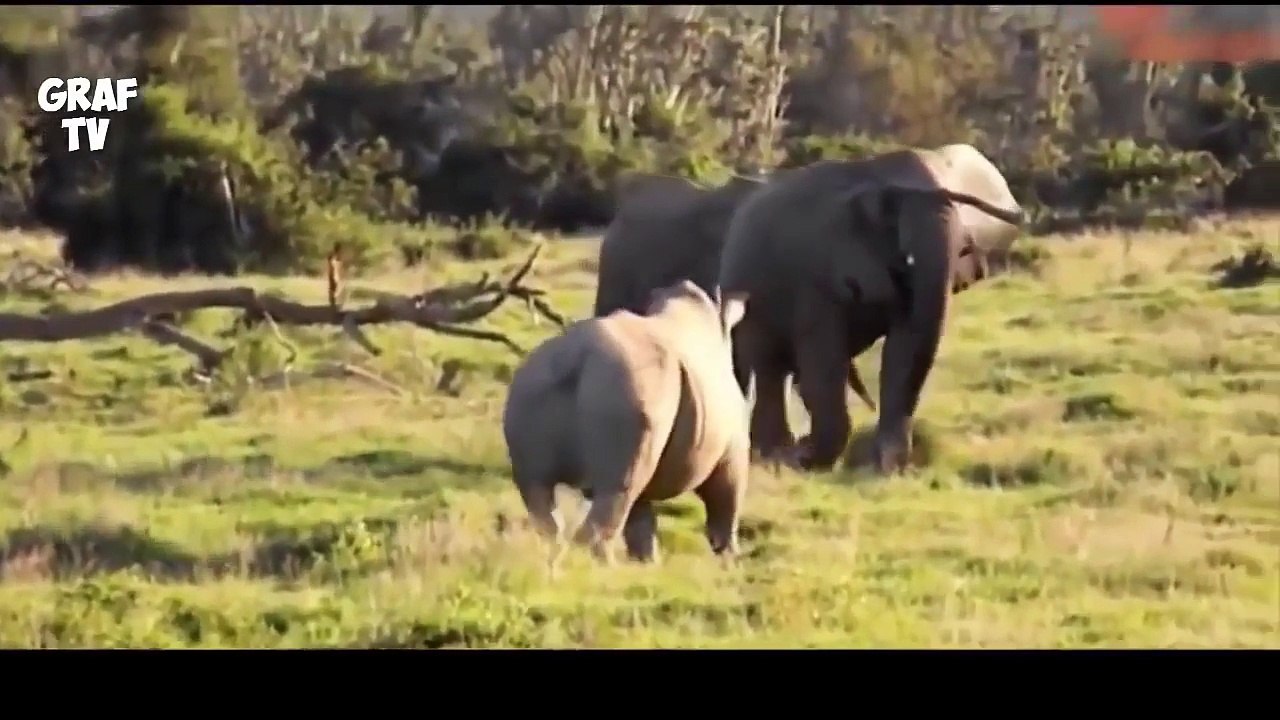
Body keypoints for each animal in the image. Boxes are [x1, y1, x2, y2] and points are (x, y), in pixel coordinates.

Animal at [502, 279, 751, 564]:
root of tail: (577, 357)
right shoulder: (732, 448)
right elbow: (727, 502)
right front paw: (729, 562)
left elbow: (640, 518)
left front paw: (647, 564)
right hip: (625, 389)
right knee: (617, 489)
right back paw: (603, 568)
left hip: (531, 386)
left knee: (537, 490)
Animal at [717, 143, 1024, 475]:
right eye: (893, 223)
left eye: (963, 246)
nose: (804, 449)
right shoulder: (816, 275)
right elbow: (824, 362)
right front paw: (805, 459)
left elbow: (904, 349)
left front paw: (887, 467)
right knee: (768, 365)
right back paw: (773, 457)